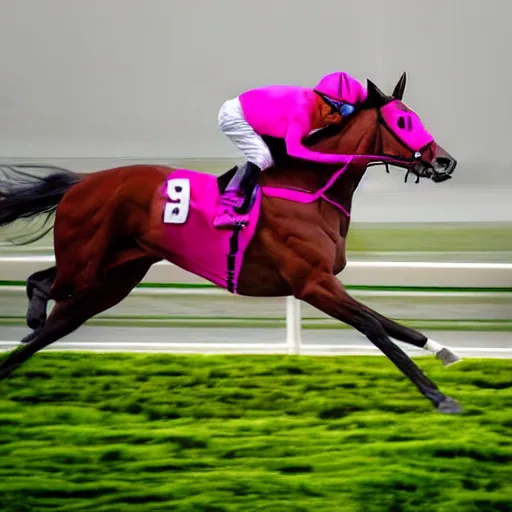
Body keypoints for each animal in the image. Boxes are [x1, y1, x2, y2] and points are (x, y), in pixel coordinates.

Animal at [0, 75, 462, 412]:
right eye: (403, 122)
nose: (445, 161)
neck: (310, 188)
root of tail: (81, 182)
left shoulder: (321, 282)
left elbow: (394, 325)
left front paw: (443, 351)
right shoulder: (312, 283)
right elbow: (373, 326)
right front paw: (439, 397)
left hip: (112, 277)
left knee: (57, 324)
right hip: (84, 264)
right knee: (39, 285)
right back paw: (31, 318)